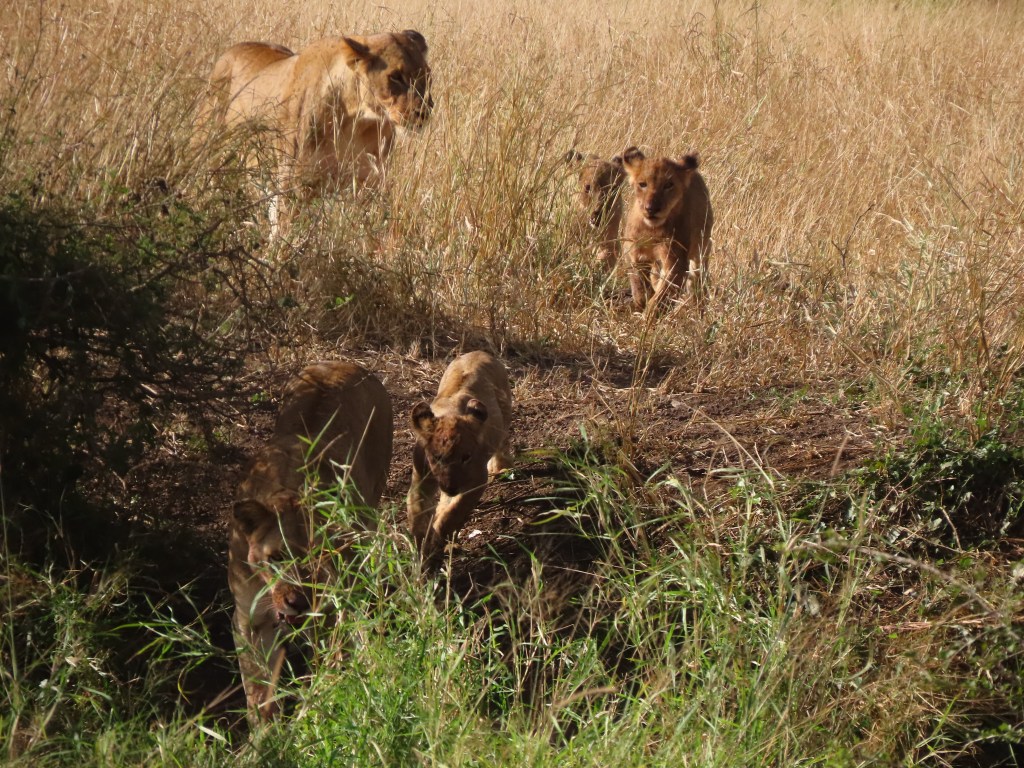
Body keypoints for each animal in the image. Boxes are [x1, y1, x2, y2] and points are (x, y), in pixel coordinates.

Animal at [201, 30, 432, 221]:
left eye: (427, 75)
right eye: (395, 77)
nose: (424, 111)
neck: (356, 120)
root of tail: (230, 50)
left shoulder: (368, 183)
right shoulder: (293, 184)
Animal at [228, 361, 393, 722]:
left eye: (320, 557)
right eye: (276, 557)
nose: (299, 602)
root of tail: (346, 361)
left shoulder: (332, 608)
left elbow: (330, 664)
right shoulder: (249, 621)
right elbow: (258, 692)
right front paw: (265, 733)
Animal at [407, 351, 513, 566]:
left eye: (466, 457)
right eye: (436, 457)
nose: (451, 486)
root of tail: (479, 351)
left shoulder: (477, 479)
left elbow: (455, 512)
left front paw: (437, 537)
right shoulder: (421, 479)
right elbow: (417, 512)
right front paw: (420, 549)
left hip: (504, 412)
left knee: (502, 441)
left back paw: (501, 466)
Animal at [620, 146, 714, 312]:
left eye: (668, 185)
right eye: (642, 184)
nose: (651, 209)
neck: (652, 229)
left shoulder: (676, 260)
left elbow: (662, 296)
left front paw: (650, 314)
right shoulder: (633, 252)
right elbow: (638, 282)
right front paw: (642, 300)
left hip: (700, 247)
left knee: (697, 277)